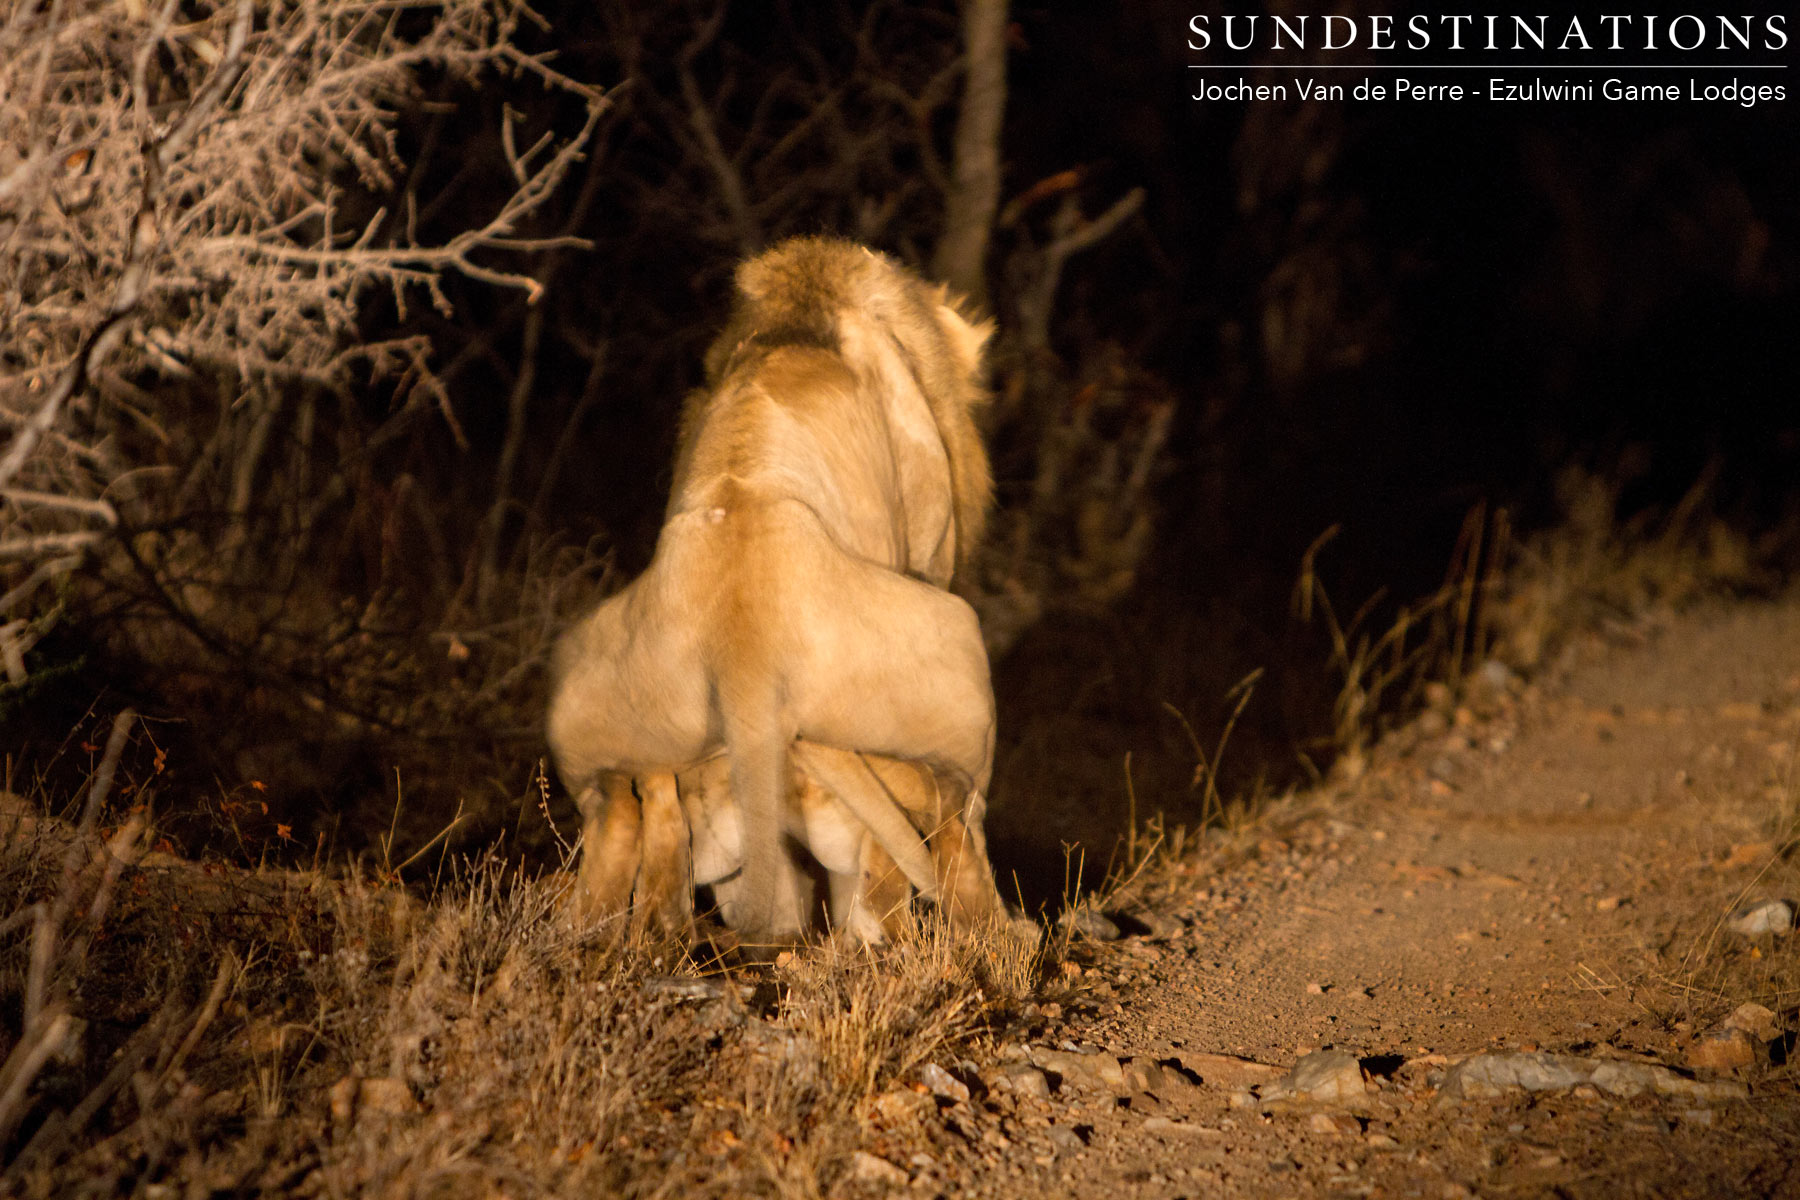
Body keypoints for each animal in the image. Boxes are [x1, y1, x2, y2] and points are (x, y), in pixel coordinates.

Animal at [548, 238, 1000, 942]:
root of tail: (743, 654)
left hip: (588, 702)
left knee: (628, 827)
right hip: (958, 661)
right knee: (950, 825)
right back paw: (999, 935)